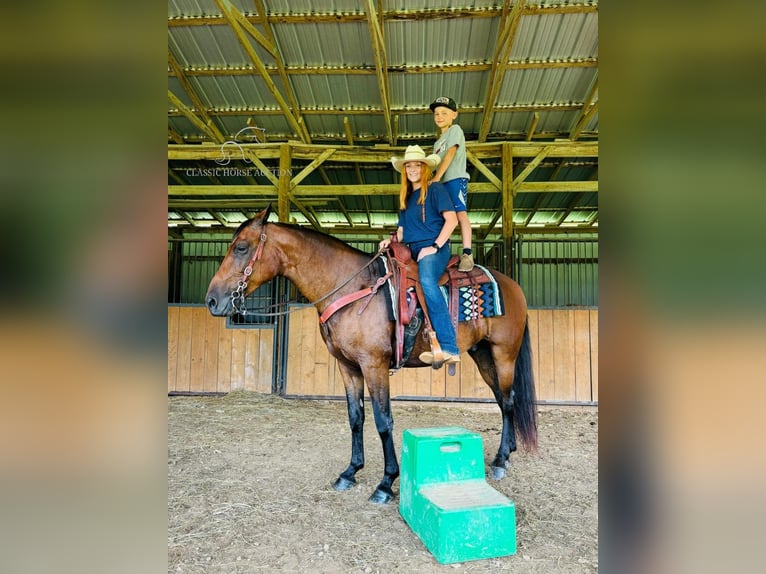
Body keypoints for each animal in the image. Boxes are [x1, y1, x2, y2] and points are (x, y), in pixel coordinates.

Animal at [206, 207, 540, 504]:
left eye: (241, 247)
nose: (212, 301)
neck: (353, 289)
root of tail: (513, 286)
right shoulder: (348, 366)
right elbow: (356, 417)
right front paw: (350, 472)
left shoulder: (374, 365)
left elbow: (383, 420)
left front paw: (386, 483)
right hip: (482, 355)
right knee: (503, 399)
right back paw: (507, 452)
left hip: (503, 354)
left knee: (508, 400)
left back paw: (500, 460)